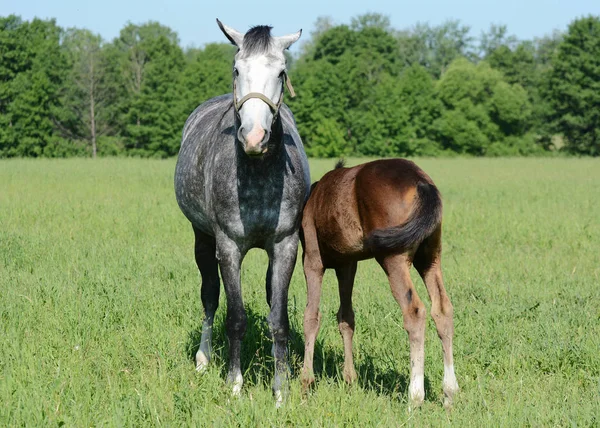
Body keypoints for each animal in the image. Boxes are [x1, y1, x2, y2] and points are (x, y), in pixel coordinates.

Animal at [172, 18, 304, 402]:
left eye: (281, 72)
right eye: (237, 69)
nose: (254, 137)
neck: (257, 172)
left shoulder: (286, 246)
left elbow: (279, 318)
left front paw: (280, 389)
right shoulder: (228, 247)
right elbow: (235, 317)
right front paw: (234, 384)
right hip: (202, 239)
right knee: (209, 297)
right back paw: (203, 359)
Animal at [300, 158, 460, 408]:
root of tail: (422, 183)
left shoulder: (312, 259)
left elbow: (311, 317)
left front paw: (306, 384)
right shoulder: (348, 264)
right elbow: (346, 318)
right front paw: (350, 380)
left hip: (393, 258)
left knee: (414, 311)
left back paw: (415, 397)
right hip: (430, 257)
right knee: (442, 308)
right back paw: (449, 394)